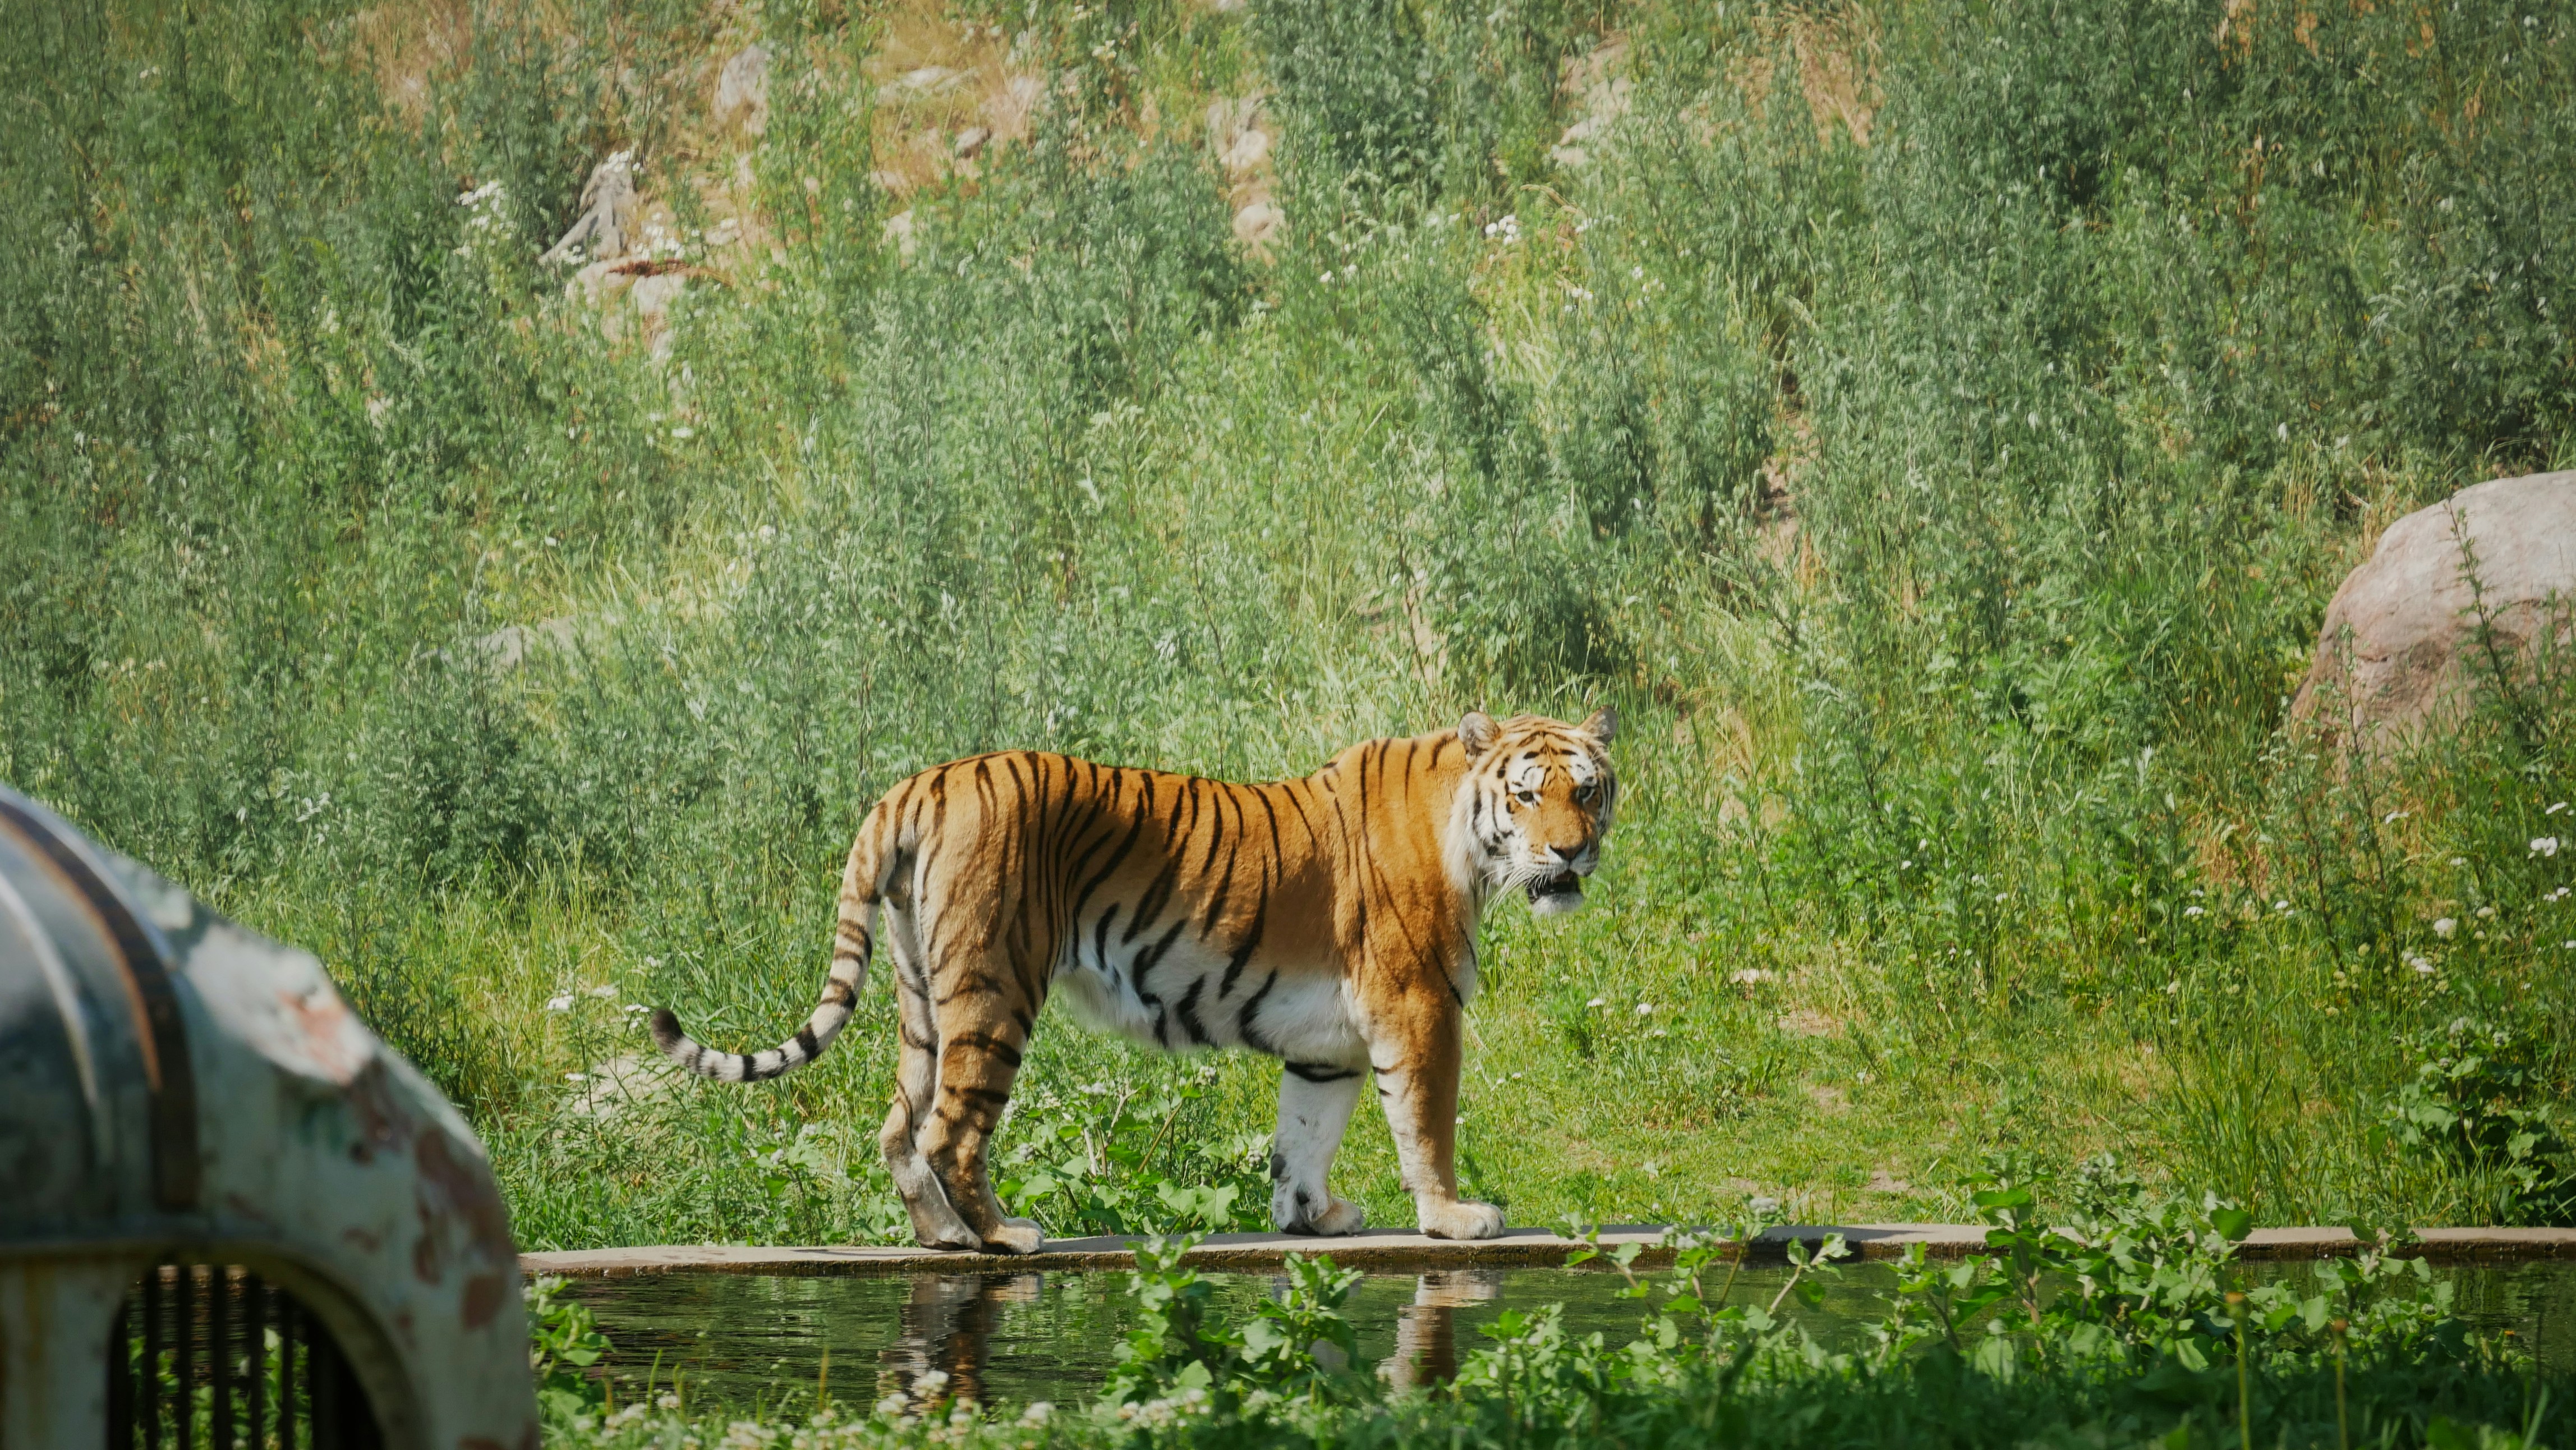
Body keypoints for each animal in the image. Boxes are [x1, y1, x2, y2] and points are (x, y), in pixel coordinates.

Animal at [649, 707, 1618, 1254]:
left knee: (897, 1127)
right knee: (949, 1133)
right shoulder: (1420, 1009)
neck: (1471, 841)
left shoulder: (1329, 1044)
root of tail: (917, 783)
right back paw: (1003, 1238)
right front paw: (1454, 1218)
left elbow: (1303, 1136)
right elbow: (1426, 1128)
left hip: (919, 993)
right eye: (1527, 796)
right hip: (995, 987)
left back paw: (942, 1241)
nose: (1573, 854)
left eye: (1588, 791)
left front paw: (1310, 1219)